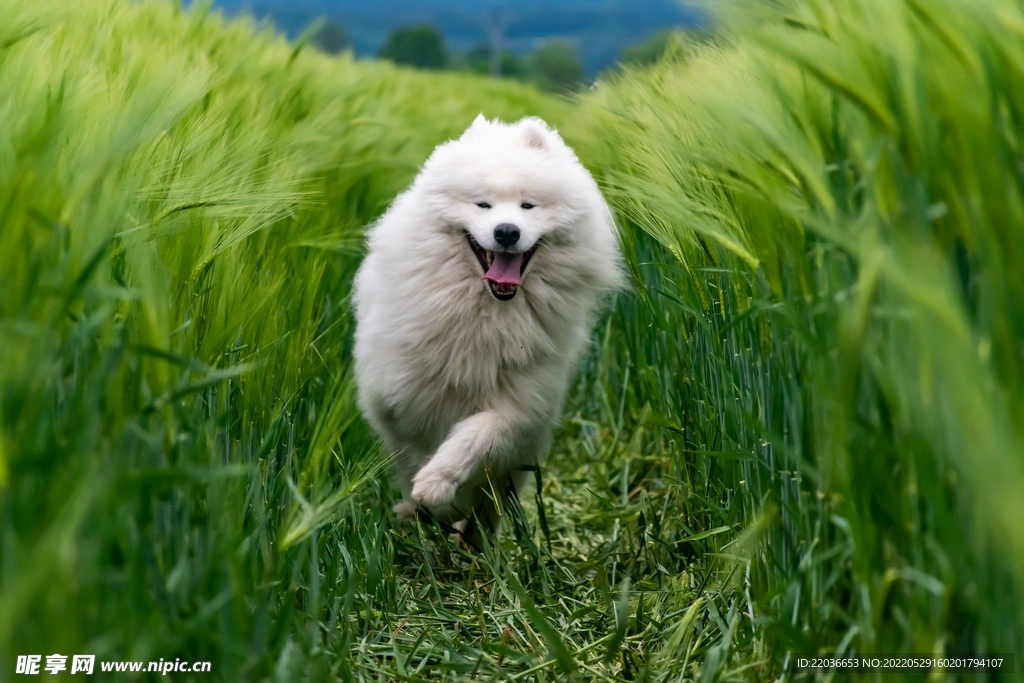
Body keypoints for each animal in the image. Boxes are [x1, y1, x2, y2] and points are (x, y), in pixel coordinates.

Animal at [352, 116, 622, 532]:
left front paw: (439, 485)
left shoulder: (524, 407)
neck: (485, 317)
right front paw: (430, 502)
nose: (507, 231)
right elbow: (417, 452)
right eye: (483, 204)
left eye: (528, 205)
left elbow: (477, 438)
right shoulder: (400, 399)